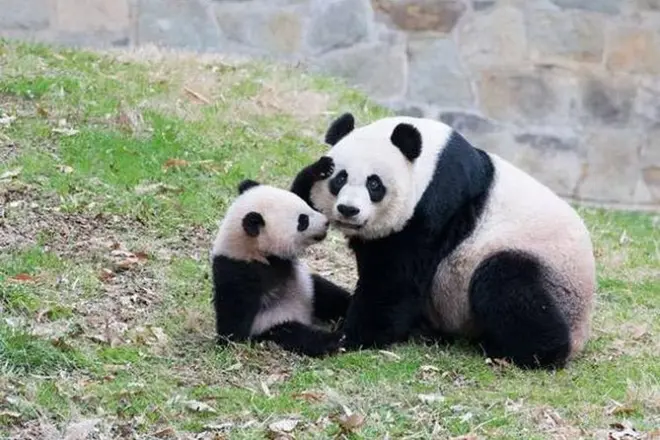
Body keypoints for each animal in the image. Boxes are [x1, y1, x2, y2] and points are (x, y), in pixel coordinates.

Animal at [211, 179, 352, 357]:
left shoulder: (283, 260)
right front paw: (229, 341)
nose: (326, 222)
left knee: (328, 294)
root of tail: (307, 316)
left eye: (306, 204)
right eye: (303, 221)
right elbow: (233, 314)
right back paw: (336, 339)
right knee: (297, 335)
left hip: (311, 291)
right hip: (276, 322)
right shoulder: (239, 270)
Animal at [290, 113, 596, 369]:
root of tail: (581, 333)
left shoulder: (436, 204)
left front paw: (345, 337)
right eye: (339, 179)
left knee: (506, 282)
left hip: (551, 274)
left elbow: (395, 281)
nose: (348, 210)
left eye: (374, 184)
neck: (429, 159)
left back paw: (527, 350)